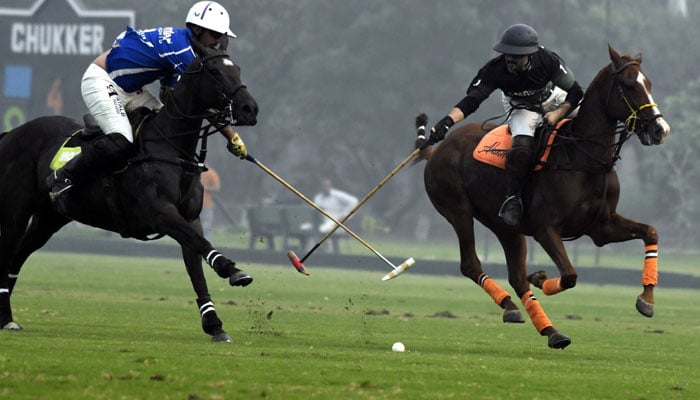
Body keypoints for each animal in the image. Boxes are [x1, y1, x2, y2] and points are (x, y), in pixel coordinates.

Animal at [0, 39, 260, 340]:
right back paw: (6, 318)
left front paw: (215, 324)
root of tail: (11, 133)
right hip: (15, 213)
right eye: (216, 71)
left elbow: (196, 264)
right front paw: (232, 270)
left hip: (49, 218)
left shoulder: (191, 217)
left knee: (15, 260)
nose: (249, 109)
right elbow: (201, 244)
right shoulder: (160, 212)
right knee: (8, 254)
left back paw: (5, 317)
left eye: (237, 68)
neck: (170, 146)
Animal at [418, 45, 668, 348]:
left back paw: (546, 328)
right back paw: (516, 308)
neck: (584, 158)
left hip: (505, 227)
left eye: (649, 84)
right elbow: (570, 275)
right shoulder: (545, 228)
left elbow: (651, 232)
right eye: (628, 86)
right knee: (470, 264)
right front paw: (540, 277)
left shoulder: (601, 227)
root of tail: (437, 150)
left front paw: (646, 301)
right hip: (458, 210)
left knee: (516, 276)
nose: (660, 130)